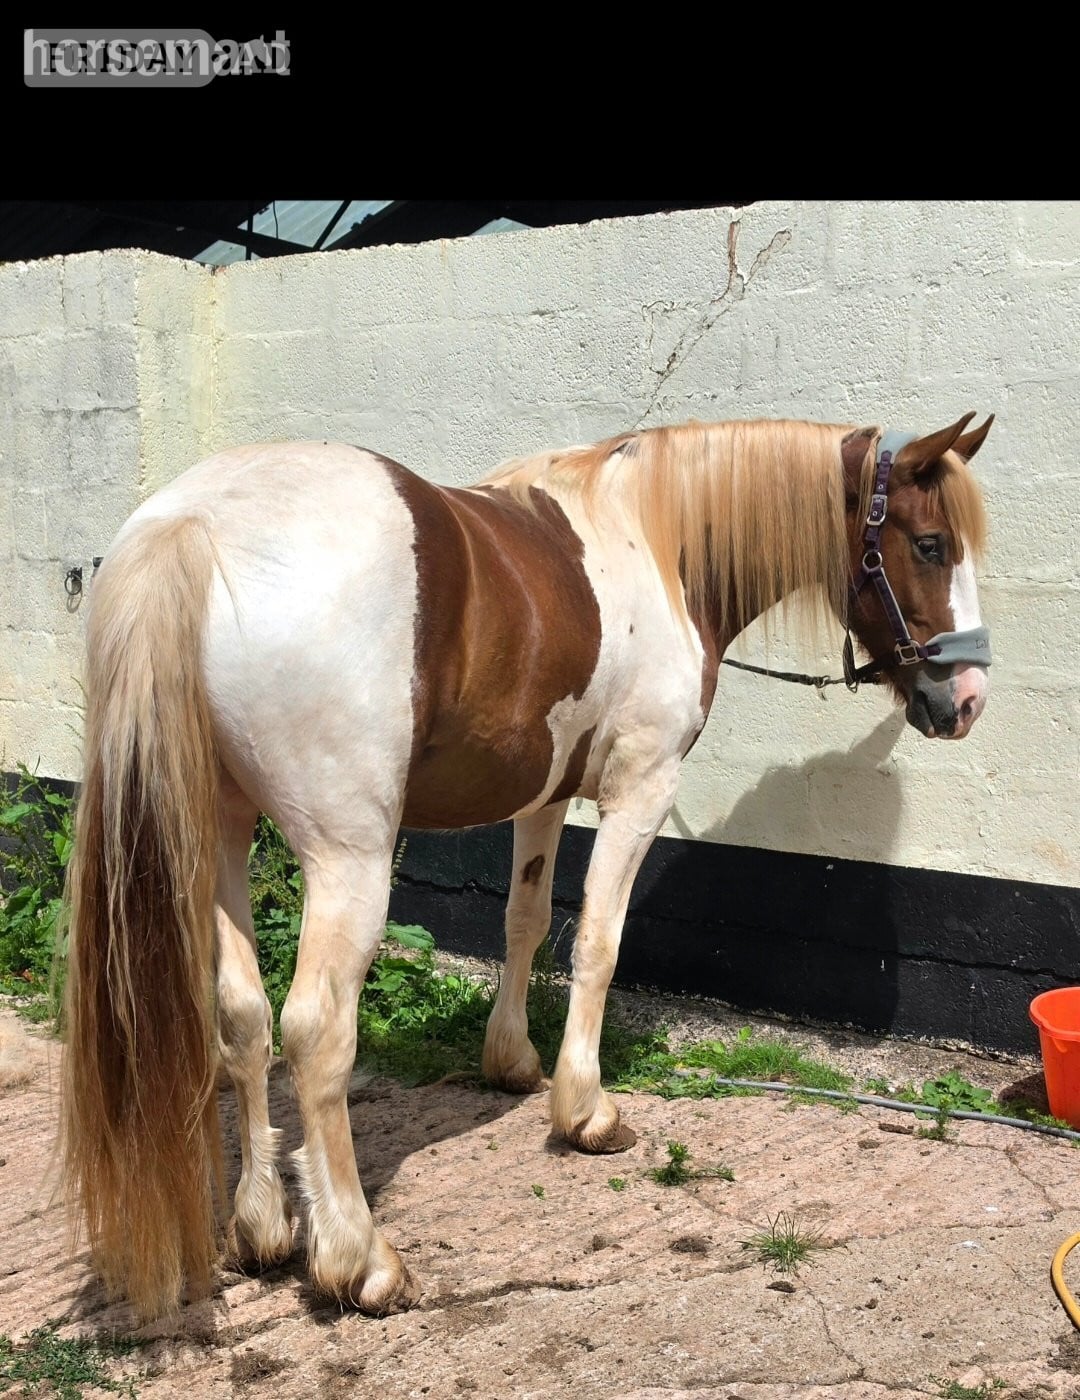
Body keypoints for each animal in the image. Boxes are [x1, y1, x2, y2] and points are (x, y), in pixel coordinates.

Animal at [59, 411, 993, 1322]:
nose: (969, 701)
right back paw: (360, 1261)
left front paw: (510, 1060)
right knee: (316, 1033)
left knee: (242, 1016)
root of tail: (196, 521)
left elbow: (527, 920)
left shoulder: (544, 793)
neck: (657, 539)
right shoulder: (640, 792)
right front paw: (585, 1110)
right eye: (930, 543)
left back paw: (261, 1227)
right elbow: (599, 947)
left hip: (220, 832)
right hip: (347, 856)